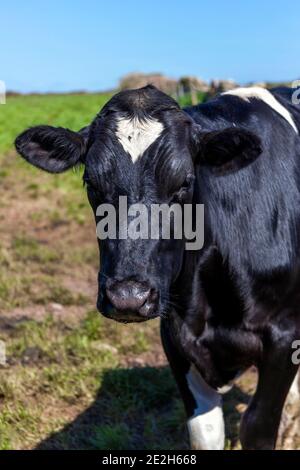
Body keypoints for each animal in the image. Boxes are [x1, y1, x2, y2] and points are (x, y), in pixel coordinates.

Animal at [15, 85, 300, 452]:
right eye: (91, 183)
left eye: (184, 183)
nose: (128, 297)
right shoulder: (175, 336)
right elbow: (205, 431)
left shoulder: (283, 333)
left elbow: (258, 425)